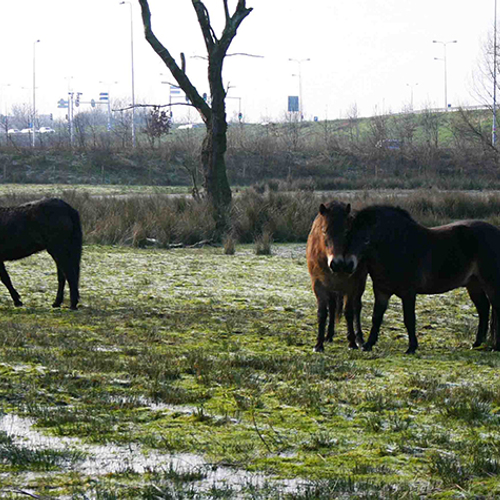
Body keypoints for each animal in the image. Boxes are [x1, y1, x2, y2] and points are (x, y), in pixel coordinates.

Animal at [304, 200, 368, 352]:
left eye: (346, 232)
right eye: (324, 230)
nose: (337, 263)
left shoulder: (350, 286)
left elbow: (349, 312)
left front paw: (352, 343)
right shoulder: (318, 285)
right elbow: (322, 313)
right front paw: (318, 344)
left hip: (360, 283)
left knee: (357, 308)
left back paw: (360, 339)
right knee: (332, 307)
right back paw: (329, 336)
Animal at [332, 205, 500, 354]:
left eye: (366, 239)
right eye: (347, 235)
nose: (347, 265)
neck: (397, 247)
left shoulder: (408, 293)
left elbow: (409, 319)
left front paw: (411, 348)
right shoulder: (381, 291)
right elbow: (376, 317)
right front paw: (368, 345)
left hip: (490, 283)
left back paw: (495, 347)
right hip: (473, 284)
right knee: (483, 308)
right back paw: (477, 344)